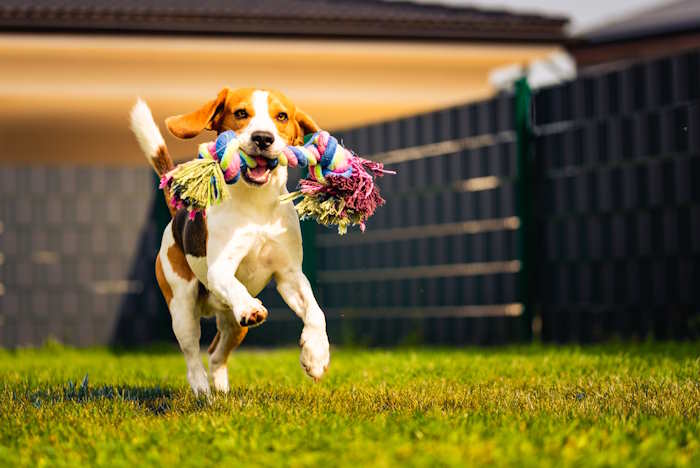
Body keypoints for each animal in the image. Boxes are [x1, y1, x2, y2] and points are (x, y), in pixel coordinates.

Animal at [131, 88, 330, 394]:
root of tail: (178, 214)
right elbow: (234, 286)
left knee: (215, 354)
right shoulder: (220, 269)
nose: (263, 138)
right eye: (240, 113)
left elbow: (316, 312)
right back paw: (203, 391)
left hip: (235, 326)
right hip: (181, 304)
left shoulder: (290, 275)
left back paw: (223, 393)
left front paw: (316, 356)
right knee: (192, 354)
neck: (257, 204)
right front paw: (250, 306)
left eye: (282, 116)